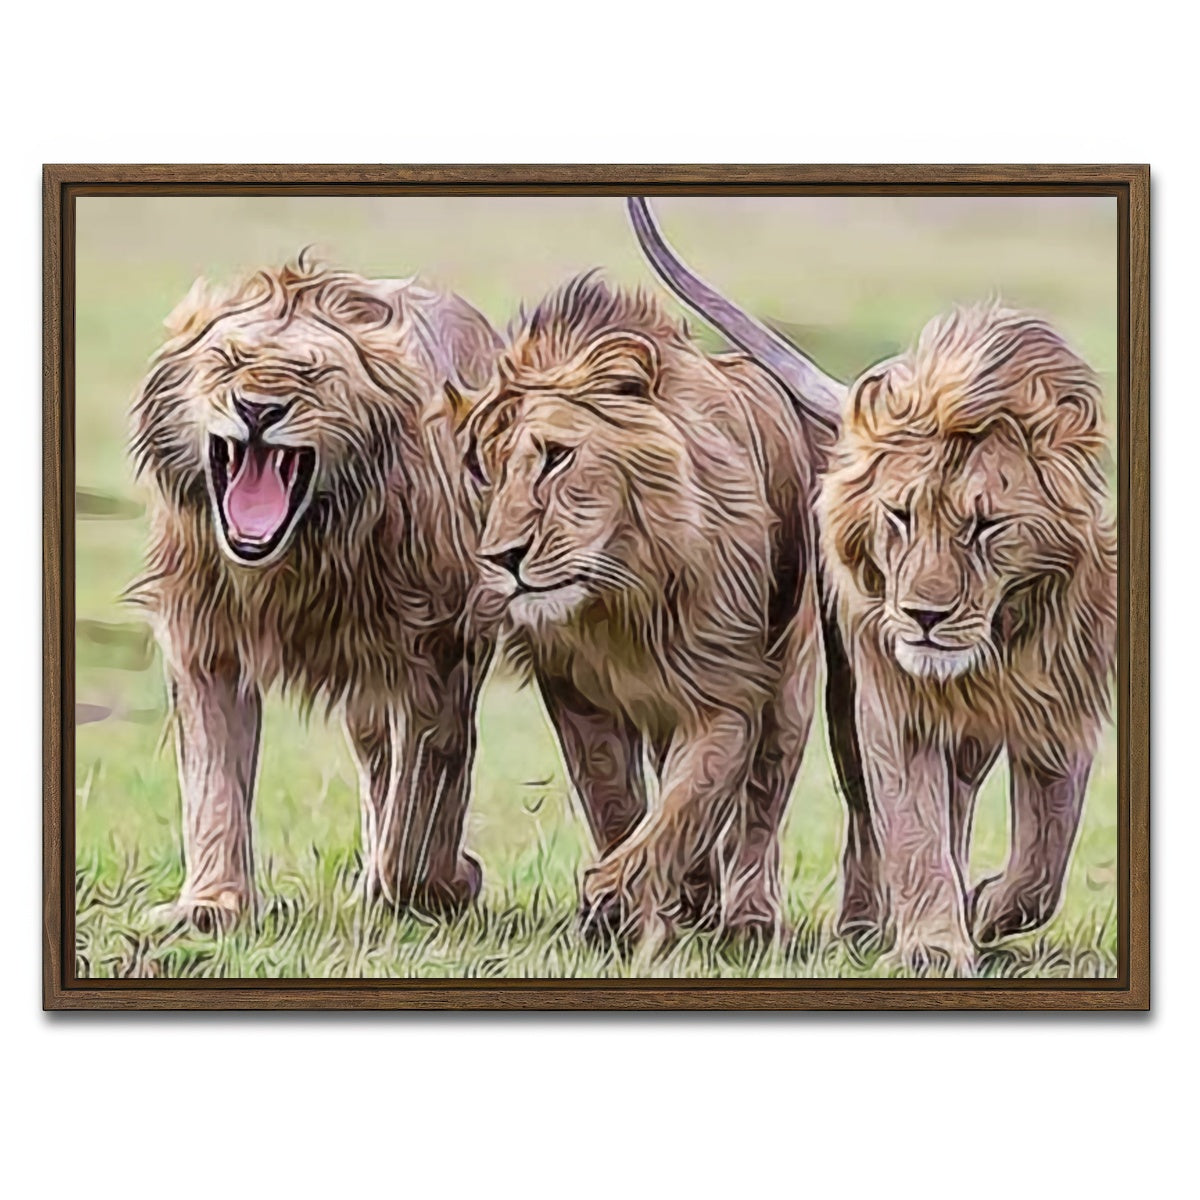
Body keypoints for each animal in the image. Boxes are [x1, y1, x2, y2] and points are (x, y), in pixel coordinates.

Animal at [128, 257, 502, 931]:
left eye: (312, 372)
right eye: (228, 360)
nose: (256, 409)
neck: (298, 557)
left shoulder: (441, 649)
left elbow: (425, 799)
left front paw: (444, 885)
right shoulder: (205, 642)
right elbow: (212, 780)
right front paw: (210, 904)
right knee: (376, 761)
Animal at [463, 273, 828, 946]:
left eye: (556, 455)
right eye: (488, 471)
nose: (502, 558)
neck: (623, 595)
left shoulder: (727, 692)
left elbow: (688, 800)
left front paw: (614, 897)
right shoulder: (574, 695)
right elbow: (616, 801)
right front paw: (632, 904)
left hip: (791, 684)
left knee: (763, 802)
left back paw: (749, 919)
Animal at [816, 304, 1118, 972]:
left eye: (986, 526)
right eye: (900, 515)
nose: (923, 616)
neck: (997, 645)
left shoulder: (1063, 704)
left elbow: (1042, 862)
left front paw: (982, 909)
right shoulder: (895, 704)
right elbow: (912, 827)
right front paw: (931, 945)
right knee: (869, 817)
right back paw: (863, 927)